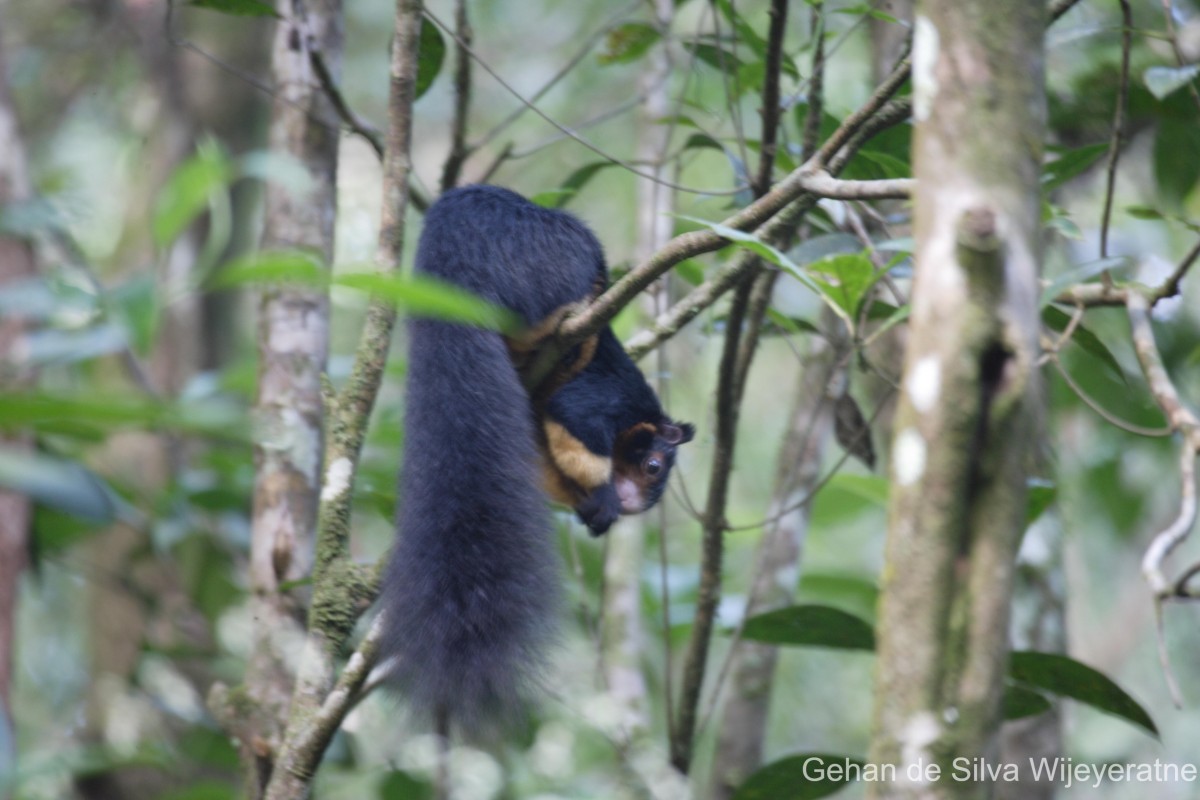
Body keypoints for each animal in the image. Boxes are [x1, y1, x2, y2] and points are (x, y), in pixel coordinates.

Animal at [374, 185, 696, 734]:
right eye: (653, 467)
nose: (633, 504)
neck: (639, 413)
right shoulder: (599, 400)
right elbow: (578, 430)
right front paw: (603, 497)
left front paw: (591, 509)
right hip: (555, 264)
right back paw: (569, 322)